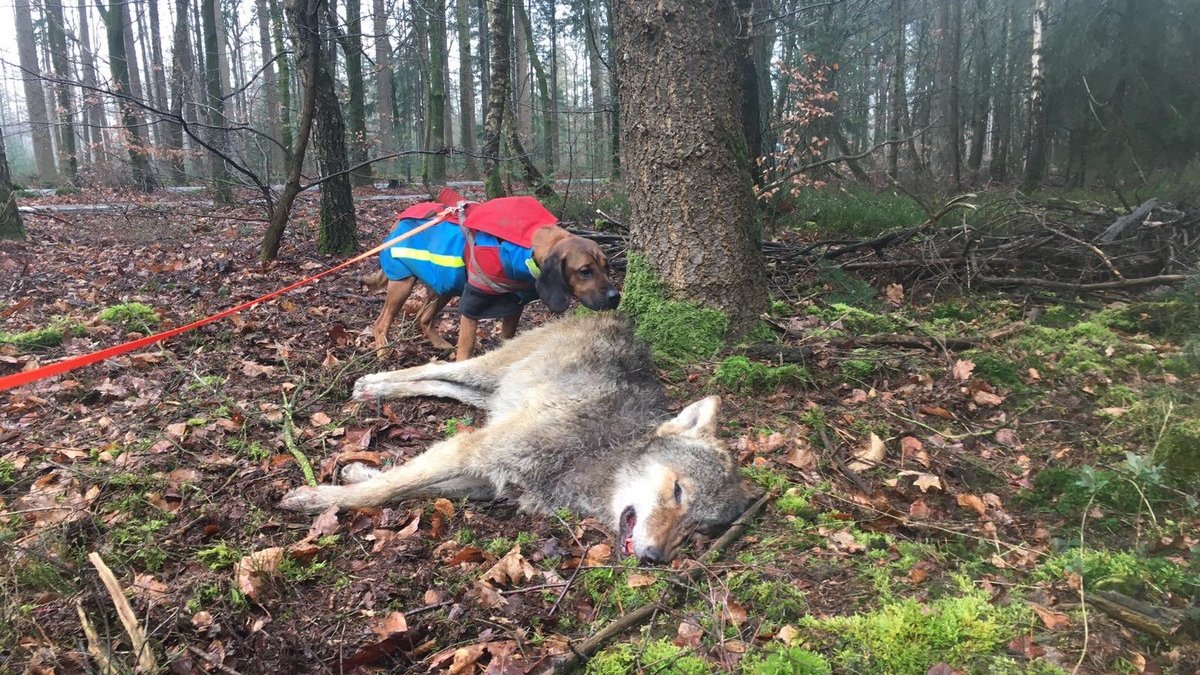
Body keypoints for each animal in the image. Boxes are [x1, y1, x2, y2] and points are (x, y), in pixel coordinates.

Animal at [279, 313, 754, 562]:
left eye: (696, 528)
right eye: (677, 492)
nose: (654, 559)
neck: (602, 450)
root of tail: (613, 316)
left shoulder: (488, 480)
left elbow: (404, 488)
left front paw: (356, 472)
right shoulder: (473, 448)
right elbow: (385, 491)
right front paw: (315, 499)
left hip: (494, 393)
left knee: (446, 384)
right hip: (489, 372)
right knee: (436, 366)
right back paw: (373, 385)